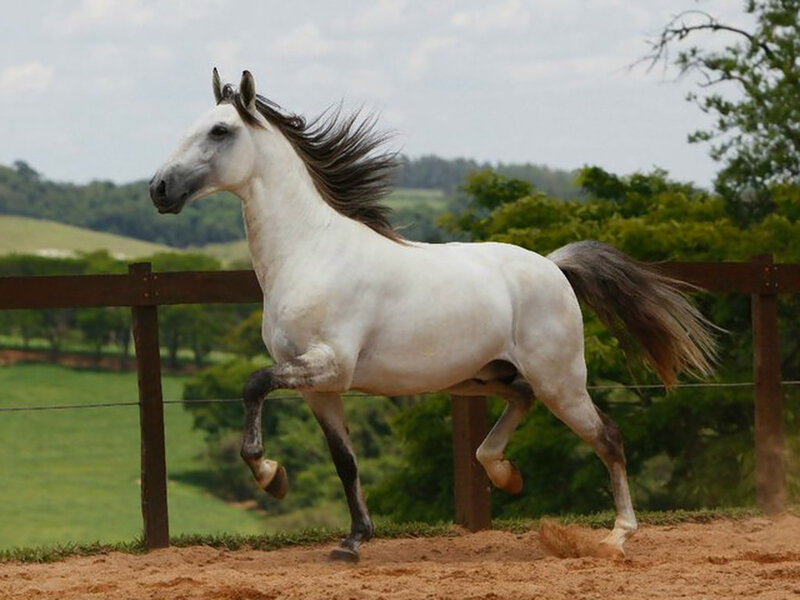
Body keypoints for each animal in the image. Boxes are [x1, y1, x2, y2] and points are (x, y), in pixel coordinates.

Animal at [150, 69, 716, 562]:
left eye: (220, 130)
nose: (158, 188)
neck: (312, 253)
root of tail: (554, 266)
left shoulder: (330, 364)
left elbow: (253, 384)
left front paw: (271, 476)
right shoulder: (321, 387)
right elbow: (344, 460)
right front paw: (352, 541)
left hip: (561, 381)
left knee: (608, 438)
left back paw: (617, 536)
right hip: (484, 376)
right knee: (522, 402)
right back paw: (505, 474)